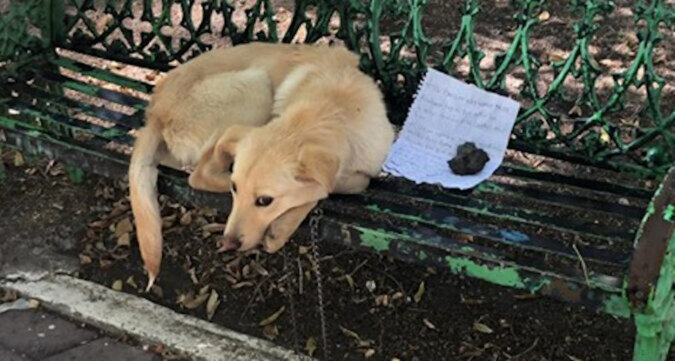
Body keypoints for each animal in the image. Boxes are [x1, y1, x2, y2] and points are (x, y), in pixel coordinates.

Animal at [130, 42, 396, 288]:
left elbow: (341, 183)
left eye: (265, 201)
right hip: (256, 86)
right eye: (235, 189)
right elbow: (331, 187)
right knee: (199, 173)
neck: (333, 108)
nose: (227, 243)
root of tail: (155, 113)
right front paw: (285, 224)